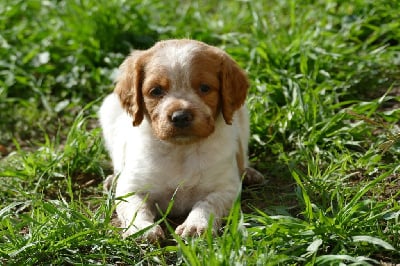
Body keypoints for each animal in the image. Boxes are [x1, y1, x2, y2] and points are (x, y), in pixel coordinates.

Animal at [99, 39, 264, 241]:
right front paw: (143, 229)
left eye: (204, 88)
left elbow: (207, 204)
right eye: (156, 91)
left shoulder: (225, 188)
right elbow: (137, 208)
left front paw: (195, 225)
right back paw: (112, 179)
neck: (181, 150)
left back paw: (249, 173)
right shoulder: (132, 187)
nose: (180, 117)